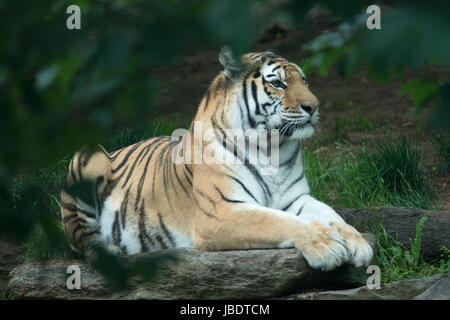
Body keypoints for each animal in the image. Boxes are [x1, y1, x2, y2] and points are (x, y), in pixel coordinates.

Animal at [60, 47, 372, 270]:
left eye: (304, 81)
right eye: (278, 84)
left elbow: (331, 214)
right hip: (86, 158)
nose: (314, 107)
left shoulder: (295, 199)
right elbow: (277, 222)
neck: (272, 147)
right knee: (84, 243)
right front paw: (327, 245)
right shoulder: (221, 210)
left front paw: (358, 243)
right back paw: (112, 251)